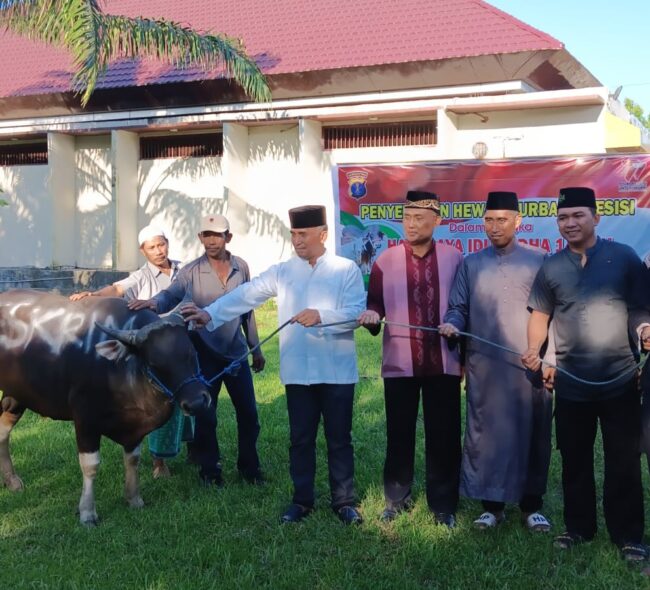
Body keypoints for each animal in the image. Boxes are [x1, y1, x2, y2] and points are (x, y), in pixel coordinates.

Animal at [0, 292, 209, 528]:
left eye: (192, 352)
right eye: (155, 363)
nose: (196, 402)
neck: (121, 370)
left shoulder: (134, 429)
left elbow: (133, 460)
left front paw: (134, 499)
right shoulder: (85, 420)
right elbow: (90, 465)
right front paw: (87, 512)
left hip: (16, 395)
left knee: (3, 431)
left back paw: (11, 480)